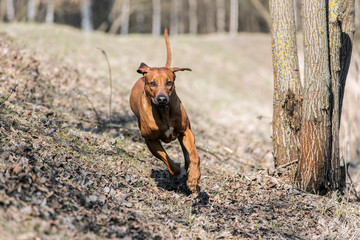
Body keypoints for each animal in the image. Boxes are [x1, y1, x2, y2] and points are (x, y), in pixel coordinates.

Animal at [129, 27, 201, 193]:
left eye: (169, 82)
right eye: (152, 83)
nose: (162, 99)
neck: (164, 112)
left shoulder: (185, 131)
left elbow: (195, 156)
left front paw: (193, 177)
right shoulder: (150, 140)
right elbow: (168, 161)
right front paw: (178, 171)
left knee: (188, 153)